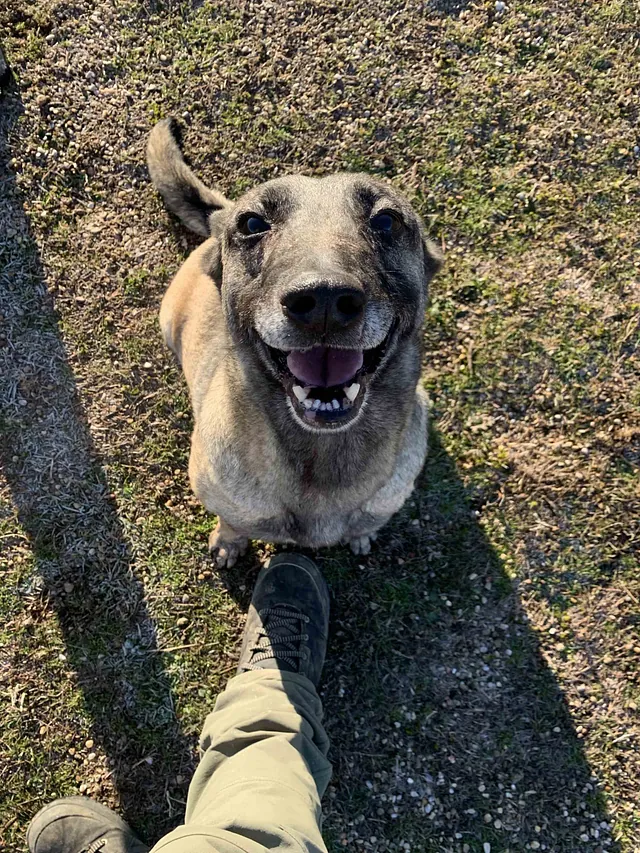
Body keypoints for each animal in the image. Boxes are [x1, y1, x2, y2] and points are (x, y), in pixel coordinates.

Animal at [148, 115, 442, 564]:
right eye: (252, 224)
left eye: (386, 220)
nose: (323, 300)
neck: (321, 451)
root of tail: (218, 216)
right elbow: (232, 522)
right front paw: (229, 542)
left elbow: (367, 522)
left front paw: (362, 535)